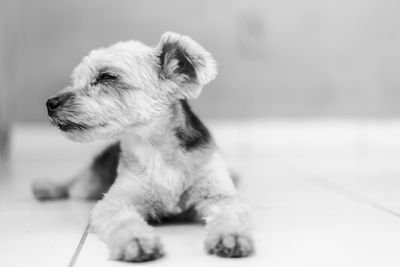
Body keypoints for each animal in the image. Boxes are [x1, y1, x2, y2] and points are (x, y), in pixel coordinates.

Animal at [32, 32, 255, 262]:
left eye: (106, 77)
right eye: (74, 80)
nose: (50, 103)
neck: (154, 148)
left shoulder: (218, 196)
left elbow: (229, 215)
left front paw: (231, 237)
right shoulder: (115, 202)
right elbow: (125, 221)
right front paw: (137, 242)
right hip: (88, 185)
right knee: (72, 183)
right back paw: (47, 187)